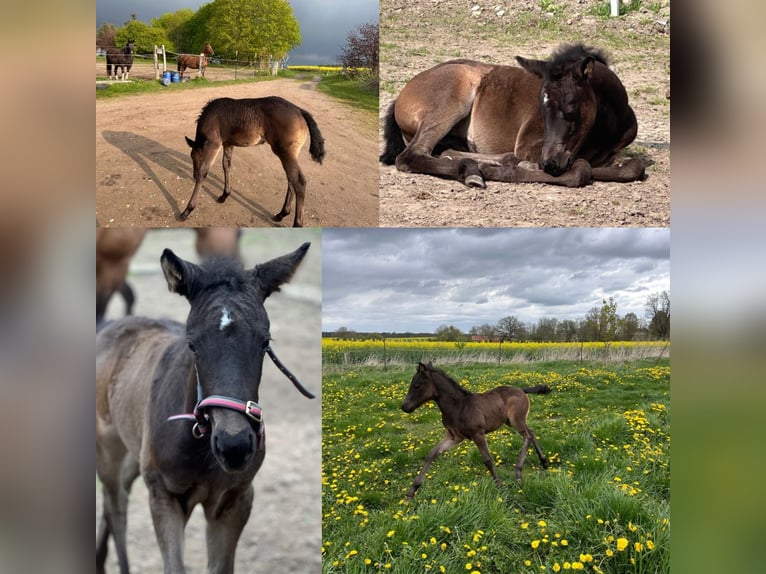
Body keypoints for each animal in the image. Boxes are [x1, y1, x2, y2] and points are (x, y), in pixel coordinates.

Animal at [96, 242, 315, 574]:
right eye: (193, 344)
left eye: (265, 342)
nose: (234, 445)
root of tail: (109, 325)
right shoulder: (163, 494)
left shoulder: (235, 499)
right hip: (109, 451)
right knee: (115, 507)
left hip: (133, 452)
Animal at [180, 96, 325, 227]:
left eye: (193, 156)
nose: (193, 175)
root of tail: (299, 110)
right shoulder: (228, 144)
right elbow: (226, 165)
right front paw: (224, 195)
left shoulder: (213, 144)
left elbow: (204, 172)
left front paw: (187, 210)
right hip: (291, 154)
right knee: (291, 179)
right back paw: (281, 214)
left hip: (285, 153)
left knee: (299, 182)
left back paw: (296, 223)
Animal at [380, 43, 645, 189]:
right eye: (541, 108)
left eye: (570, 109)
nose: (549, 163)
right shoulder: (530, 146)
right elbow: (582, 169)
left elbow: (632, 167)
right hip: (452, 95)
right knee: (411, 156)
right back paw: (474, 171)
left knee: (445, 150)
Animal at [401, 362, 551, 499]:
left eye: (417, 385)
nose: (404, 406)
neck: (458, 406)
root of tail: (521, 390)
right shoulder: (454, 437)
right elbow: (432, 454)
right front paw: (412, 491)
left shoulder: (477, 434)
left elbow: (487, 460)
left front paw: (500, 486)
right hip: (511, 421)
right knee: (531, 432)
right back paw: (544, 462)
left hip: (516, 420)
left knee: (528, 436)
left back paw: (518, 473)